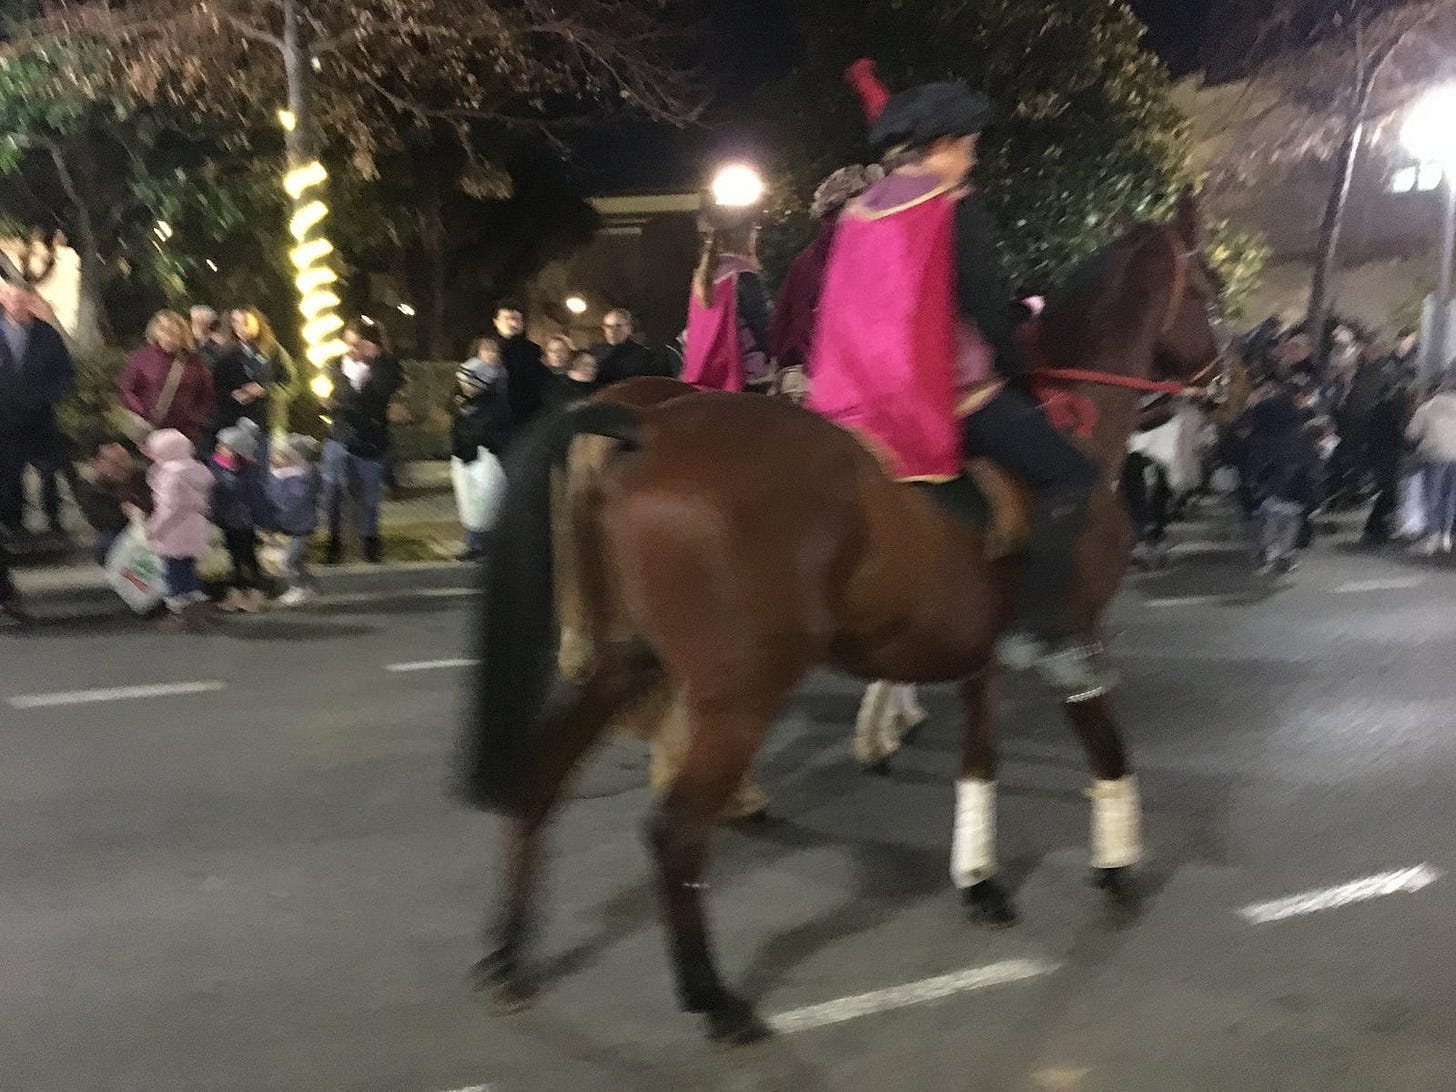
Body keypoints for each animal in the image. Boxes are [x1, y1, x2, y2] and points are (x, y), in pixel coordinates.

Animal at [459, 195, 1222, 1044]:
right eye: (1211, 289)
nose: (1226, 384)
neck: (1071, 426)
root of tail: (639, 429)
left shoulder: (984, 652)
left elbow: (979, 760)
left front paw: (979, 878)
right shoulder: (1077, 633)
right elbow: (1105, 745)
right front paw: (1116, 865)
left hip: (628, 663)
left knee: (541, 783)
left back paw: (510, 953)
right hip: (740, 692)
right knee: (674, 830)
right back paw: (710, 993)